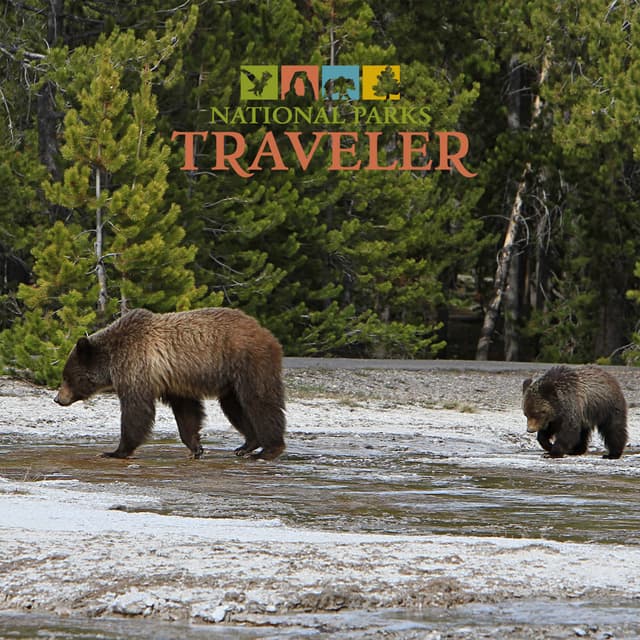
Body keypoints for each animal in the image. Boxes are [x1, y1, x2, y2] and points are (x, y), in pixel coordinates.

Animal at [54, 307, 286, 461]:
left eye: (66, 377)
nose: (57, 398)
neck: (111, 362)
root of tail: (265, 332)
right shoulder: (174, 381)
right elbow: (187, 413)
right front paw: (195, 447)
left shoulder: (136, 367)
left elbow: (136, 411)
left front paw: (115, 451)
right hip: (230, 380)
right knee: (234, 407)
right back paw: (247, 445)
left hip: (248, 361)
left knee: (260, 402)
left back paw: (269, 449)